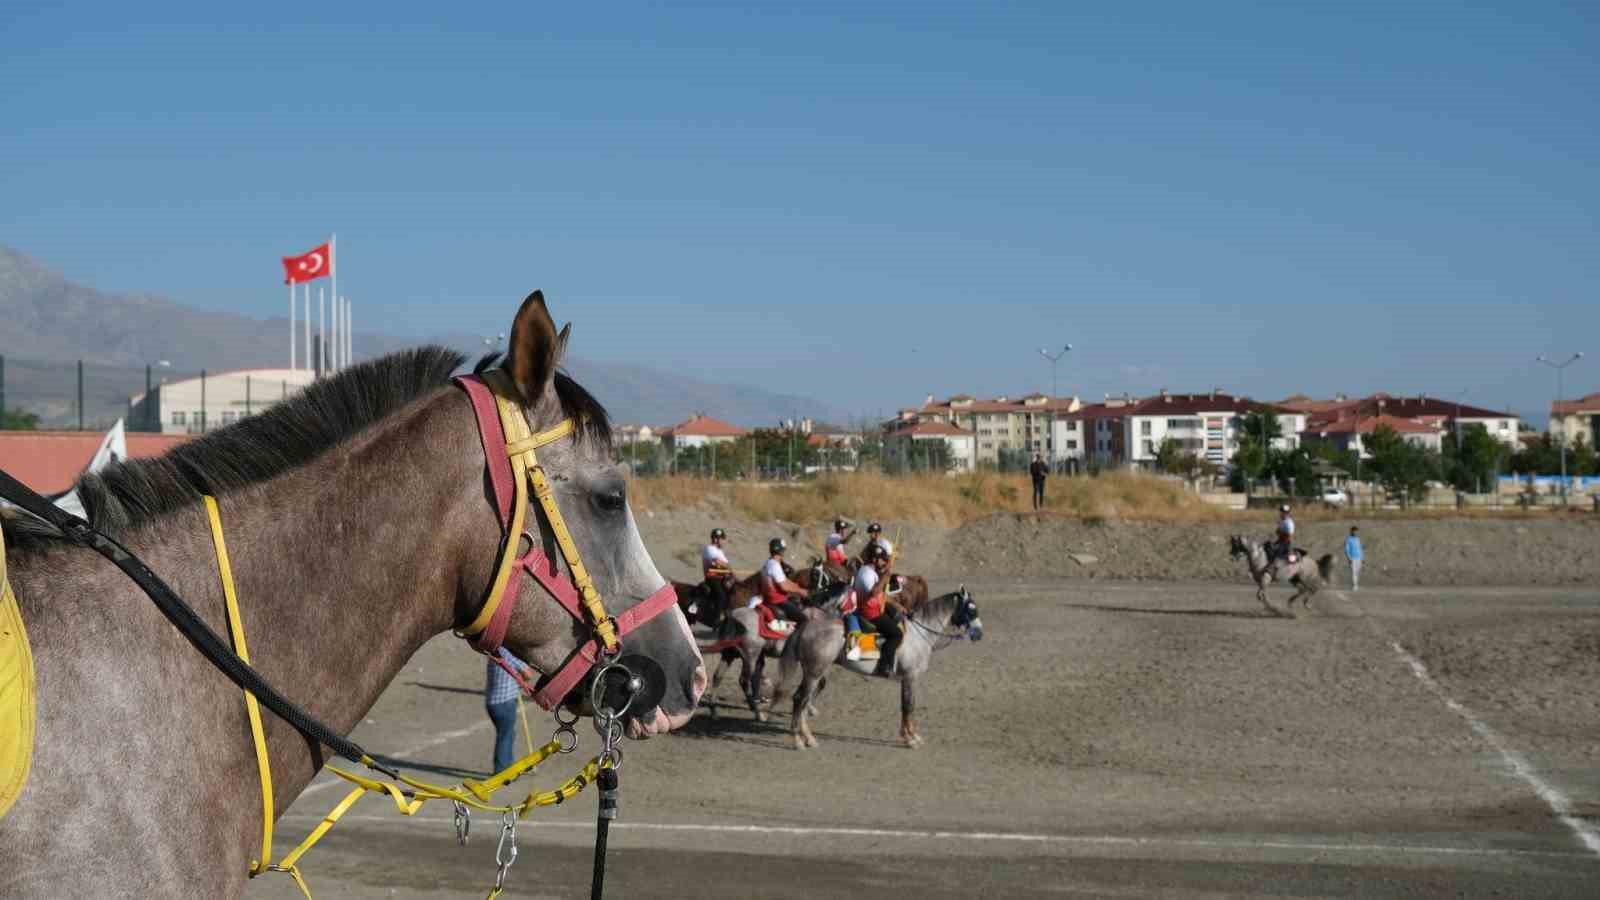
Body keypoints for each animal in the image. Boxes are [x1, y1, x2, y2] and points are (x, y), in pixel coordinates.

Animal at [780, 586, 979, 746]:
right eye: (971, 610)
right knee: (799, 699)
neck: (919, 633)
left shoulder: (908, 679)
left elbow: (907, 705)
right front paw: (911, 739)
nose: (979, 634)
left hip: (814, 672)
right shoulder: (910, 677)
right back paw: (798, 740)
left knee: (804, 700)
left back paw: (809, 738)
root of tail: (808, 626)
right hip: (814, 673)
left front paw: (910, 735)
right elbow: (908, 706)